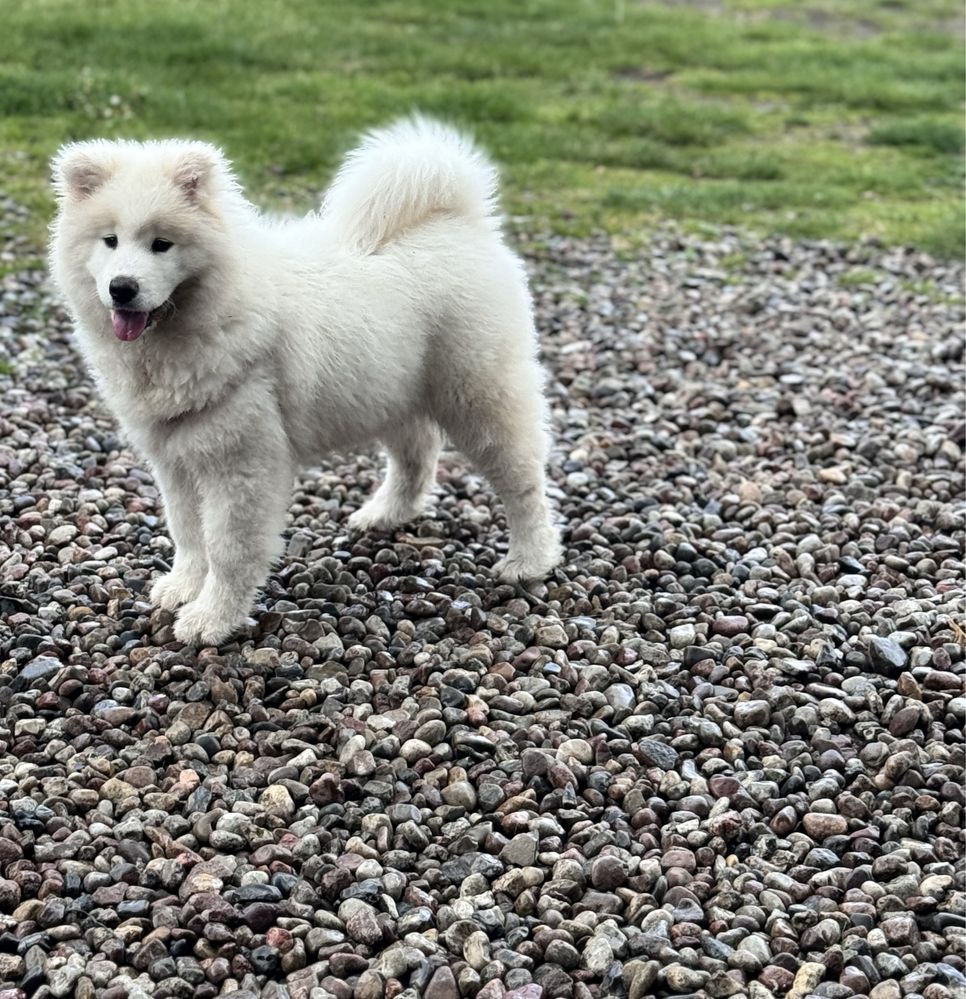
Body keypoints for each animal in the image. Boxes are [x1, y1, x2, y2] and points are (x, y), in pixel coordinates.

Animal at [49, 119, 564, 648]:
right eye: (110, 241)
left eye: (161, 244)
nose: (122, 288)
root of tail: (457, 219)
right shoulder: (176, 456)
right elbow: (188, 534)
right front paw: (183, 587)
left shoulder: (241, 462)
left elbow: (228, 549)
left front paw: (212, 618)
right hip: (389, 390)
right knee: (418, 455)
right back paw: (385, 514)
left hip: (479, 396)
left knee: (523, 482)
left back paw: (529, 559)